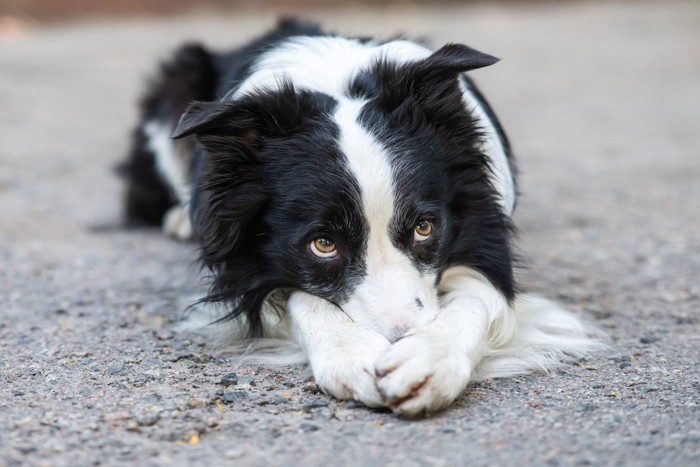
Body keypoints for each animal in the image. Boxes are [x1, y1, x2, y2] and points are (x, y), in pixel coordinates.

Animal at [120, 18, 600, 416]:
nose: (397, 343)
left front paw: (428, 358)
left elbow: (478, 297)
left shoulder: (481, 237)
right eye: (323, 244)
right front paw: (352, 355)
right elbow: (299, 296)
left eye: (424, 228)